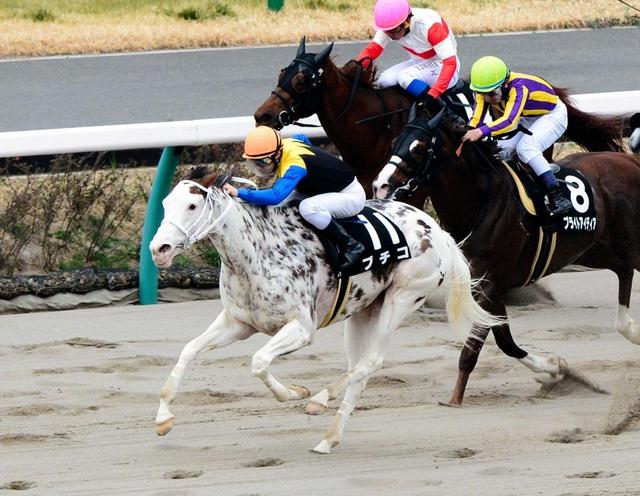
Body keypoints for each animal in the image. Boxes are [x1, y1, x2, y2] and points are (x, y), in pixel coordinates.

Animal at [148, 167, 502, 453]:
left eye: (192, 206)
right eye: (165, 204)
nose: (158, 249)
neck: (257, 252)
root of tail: (437, 230)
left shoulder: (302, 328)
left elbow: (259, 362)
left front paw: (295, 392)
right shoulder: (239, 322)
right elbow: (189, 349)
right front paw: (163, 417)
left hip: (403, 296)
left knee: (371, 361)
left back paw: (319, 403)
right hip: (364, 310)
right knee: (359, 368)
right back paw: (328, 436)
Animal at [371, 109, 640, 406]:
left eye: (419, 148)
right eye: (395, 141)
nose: (380, 185)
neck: (481, 203)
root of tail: (631, 161)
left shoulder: (490, 283)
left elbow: (474, 347)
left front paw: (454, 400)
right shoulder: (486, 282)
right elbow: (505, 340)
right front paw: (553, 371)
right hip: (596, 249)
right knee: (623, 269)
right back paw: (629, 329)